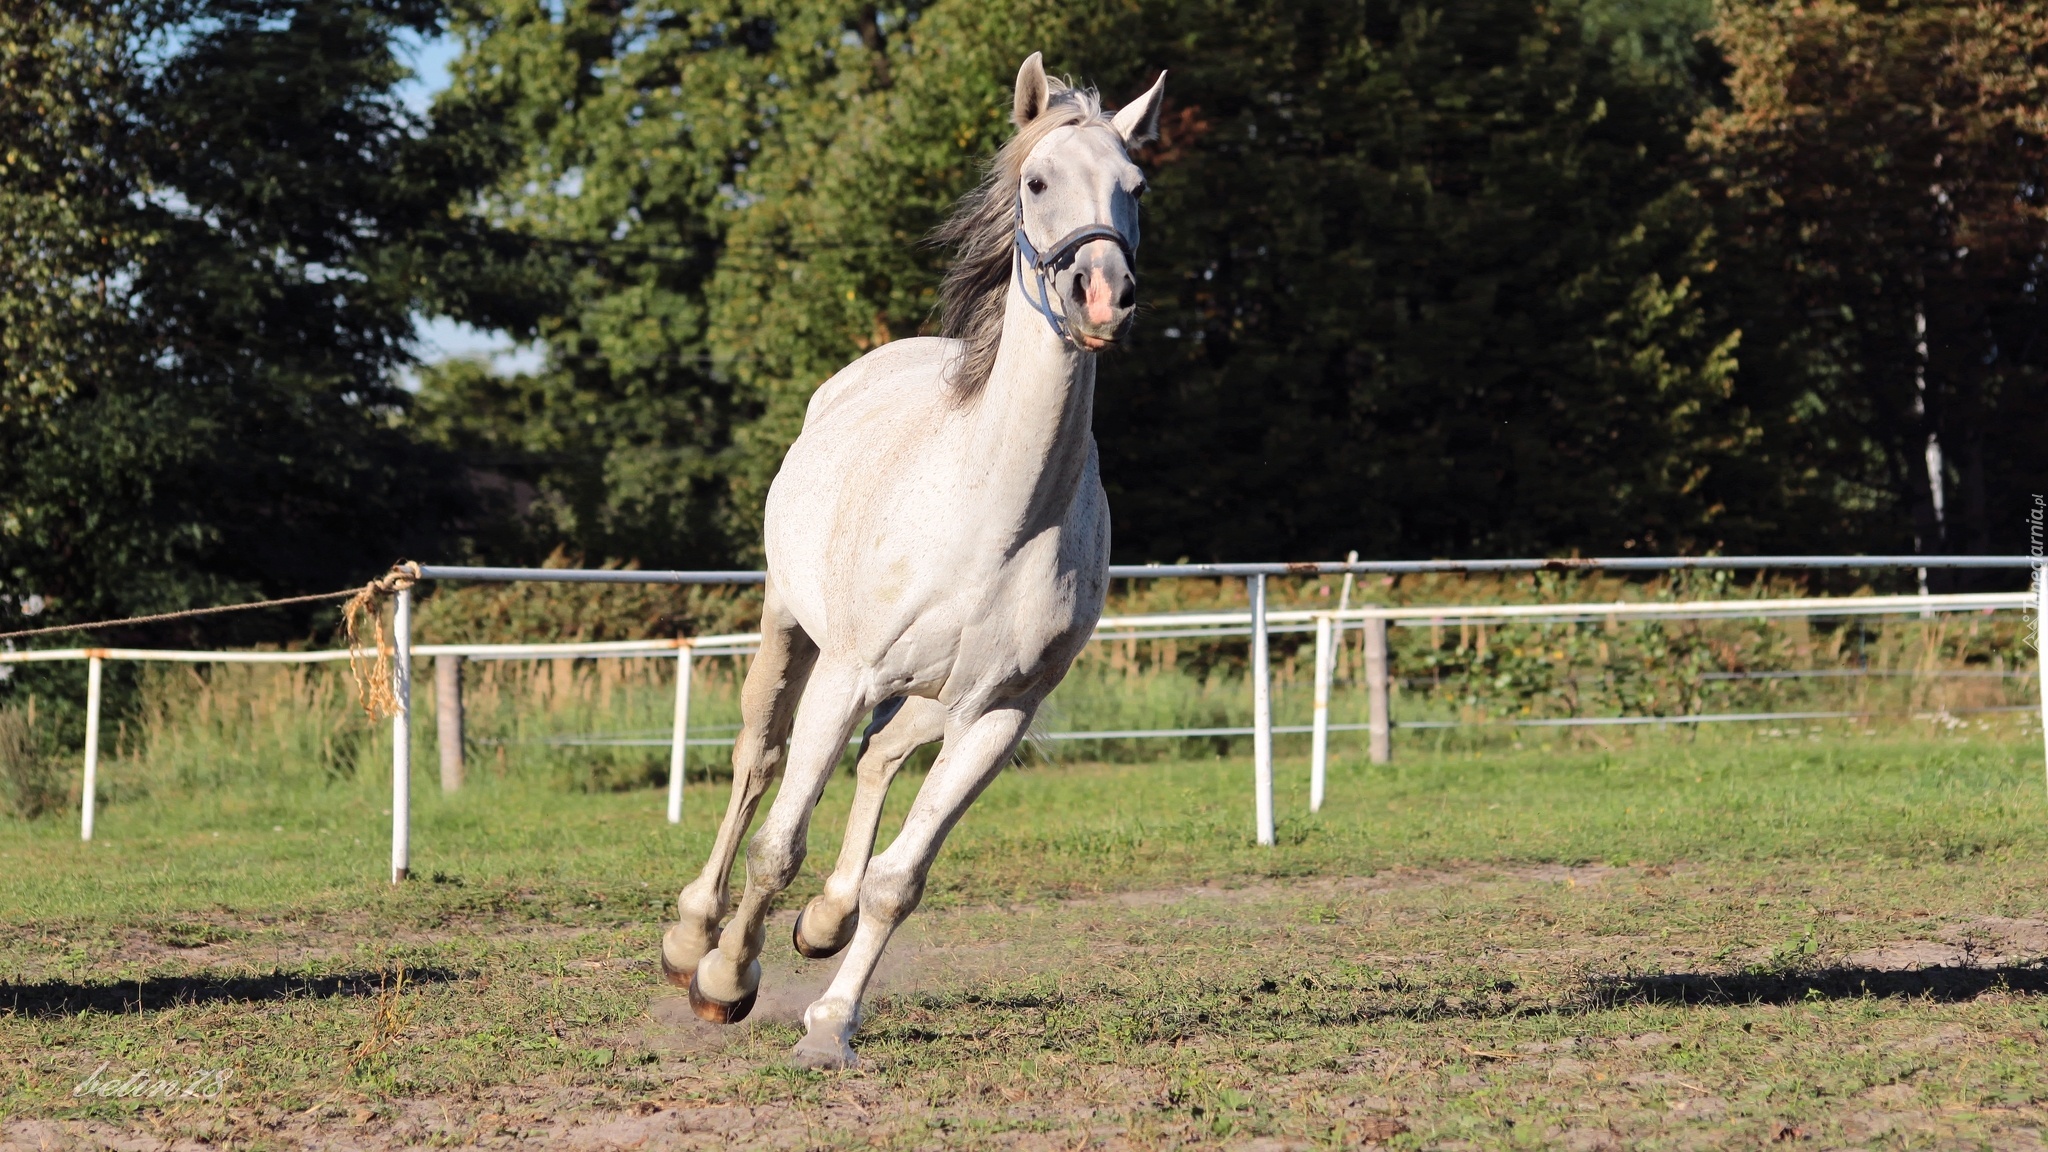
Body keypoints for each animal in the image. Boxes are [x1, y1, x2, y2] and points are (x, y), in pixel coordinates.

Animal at [659, 51, 1163, 1057]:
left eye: (1135, 188)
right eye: (1038, 181)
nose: (1101, 296)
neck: (999, 518)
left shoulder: (1001, 713)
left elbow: (901, 879)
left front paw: (830, 1021)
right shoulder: (848, 673)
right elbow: (778, 846)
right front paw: (726, 979)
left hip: (937, 698)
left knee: (880, 762)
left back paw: (824, 923)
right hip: (791, 627)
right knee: (758, 763)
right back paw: (694, 934)